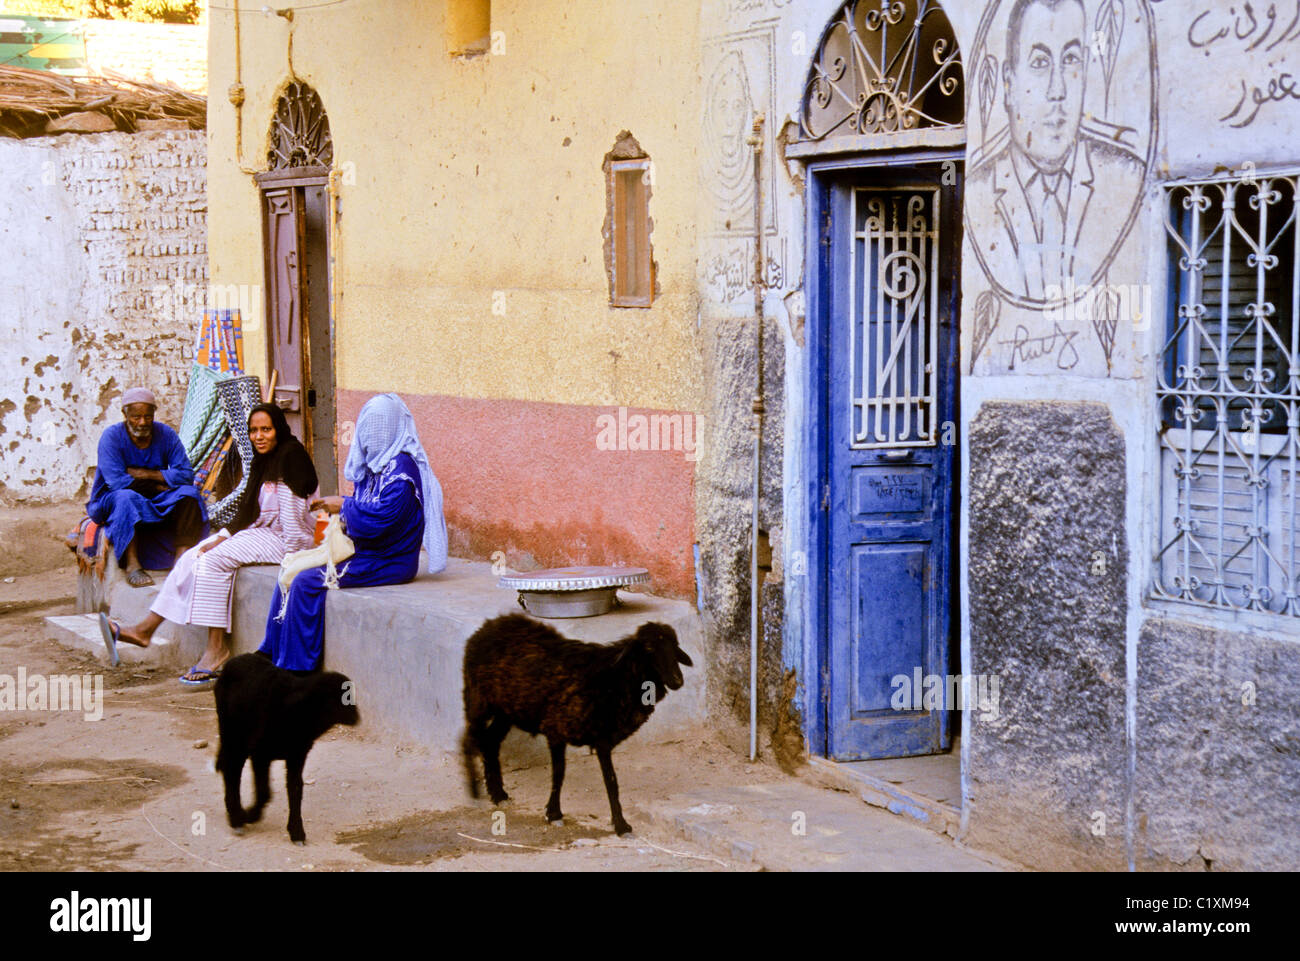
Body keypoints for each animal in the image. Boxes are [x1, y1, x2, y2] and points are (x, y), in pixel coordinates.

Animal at [214, 652, 361, 842]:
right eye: (344, 697)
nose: (357, 717)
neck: (300, 710)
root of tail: (235, 659)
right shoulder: (260, 754)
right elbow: (264, 791)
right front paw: (250, 816)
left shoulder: (297, 755)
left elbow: (295, 789)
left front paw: (296, 831)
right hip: (232, 731)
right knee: (231, 769)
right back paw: (236, 818)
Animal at [465, 616, 696, 832]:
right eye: (648, 649)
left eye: (675, 646)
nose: (677, 681)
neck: (615, 678)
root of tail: (490, 625)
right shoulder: (558, 729)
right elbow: (563, 773)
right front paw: (555, 813)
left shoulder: (603, 739)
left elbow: (611, 781)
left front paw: (619, 823)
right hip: (477, 699)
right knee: (470, 739)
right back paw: (476, 792)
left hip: (507, 710)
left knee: (490, 741)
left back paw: (498, 794)